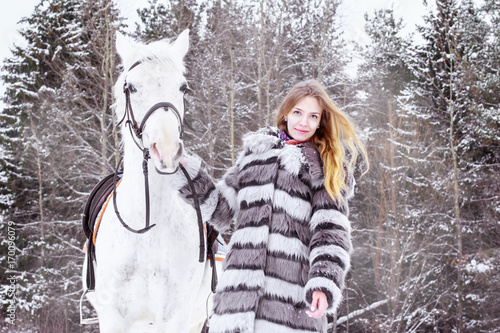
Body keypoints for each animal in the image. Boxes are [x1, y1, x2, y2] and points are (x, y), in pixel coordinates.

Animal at [81, 30, 215, 332]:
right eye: (131, 87)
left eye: (183, 88)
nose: (165, 150)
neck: (147, 230)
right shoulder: (113, 319)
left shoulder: (176, 318)